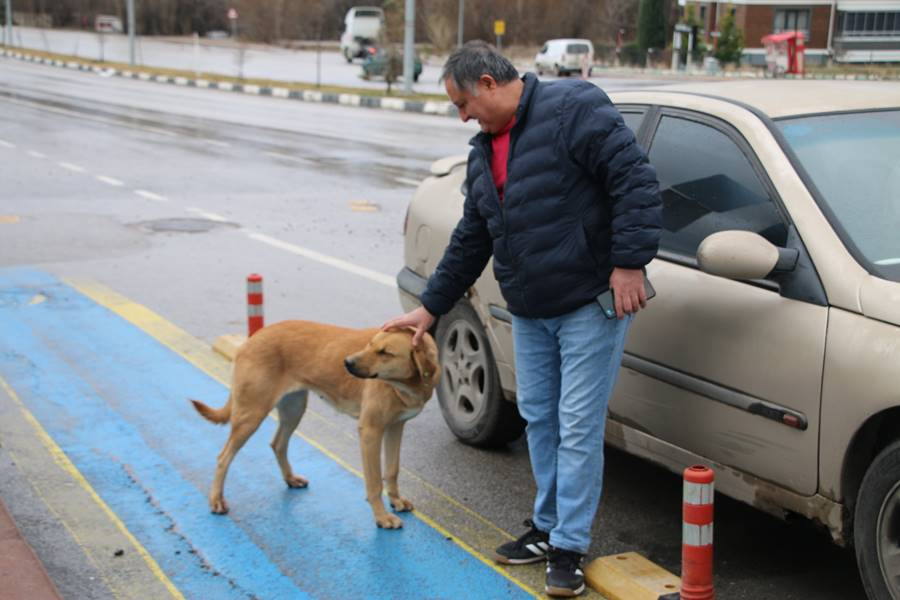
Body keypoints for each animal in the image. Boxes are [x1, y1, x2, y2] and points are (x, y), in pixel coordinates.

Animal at [191, 322, 440, 528]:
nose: (347, 363)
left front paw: (396, 500)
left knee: (278, 444)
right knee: (223, 457)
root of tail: (254, 337)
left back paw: (290, 479)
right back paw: (216, 500)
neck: (408, 384)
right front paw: (381, 517)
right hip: (251, 414)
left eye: (385, 353)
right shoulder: (370, 431)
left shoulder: (395, 427)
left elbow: (392, 470)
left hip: (294, 408)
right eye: (370, 345)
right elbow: (374, 482)